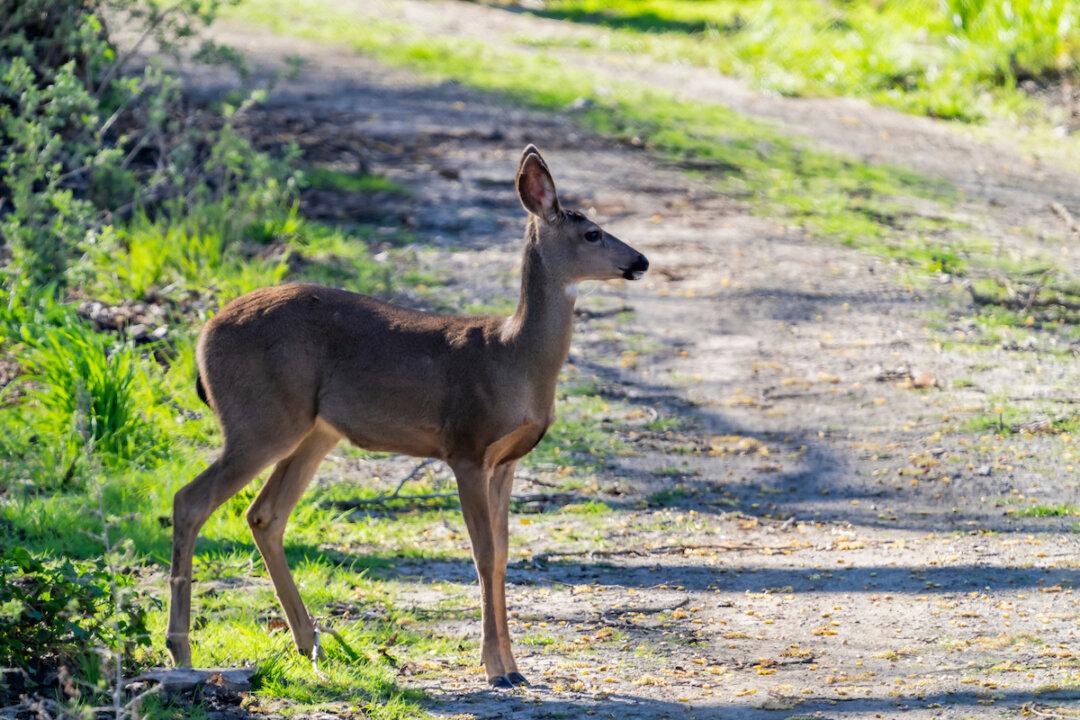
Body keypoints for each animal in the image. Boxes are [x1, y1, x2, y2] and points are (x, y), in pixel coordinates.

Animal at [166, 145, 649, 688]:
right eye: (592, 233)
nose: (641, 261)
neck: (515, 358)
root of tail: (201, 338)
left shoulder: (507, 460)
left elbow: (503, 556)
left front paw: (515, 667)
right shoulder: (466, 446)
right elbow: (483, 555)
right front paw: (495, 669)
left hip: (314, 430)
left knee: (264, 513)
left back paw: (309, 642)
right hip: (260, 418)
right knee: (190, 500)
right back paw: (181, 649)